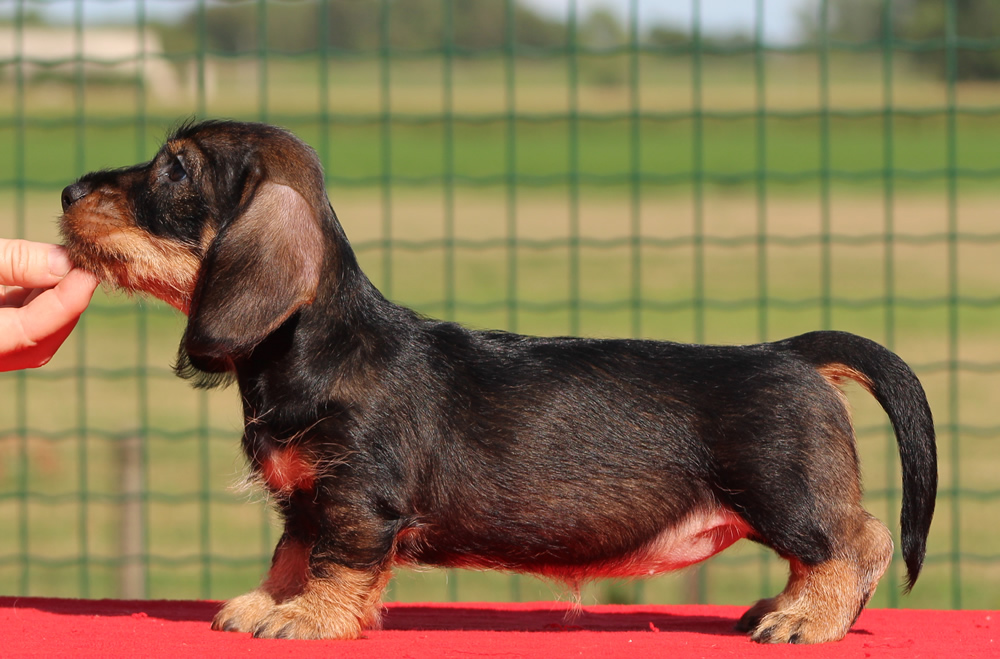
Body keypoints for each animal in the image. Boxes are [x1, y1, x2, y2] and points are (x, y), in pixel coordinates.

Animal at [60, 120, 936, 644]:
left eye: (175, 168)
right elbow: (291, 551)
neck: (319, 344)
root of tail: (791, 352)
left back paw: (807, 620)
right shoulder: (307, 497)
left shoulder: (357, 496)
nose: (67, 191)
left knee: (857, 541)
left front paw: (307, 617)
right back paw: (784, 605)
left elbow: (336, 561)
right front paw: (266, 602)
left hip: (783, 492)